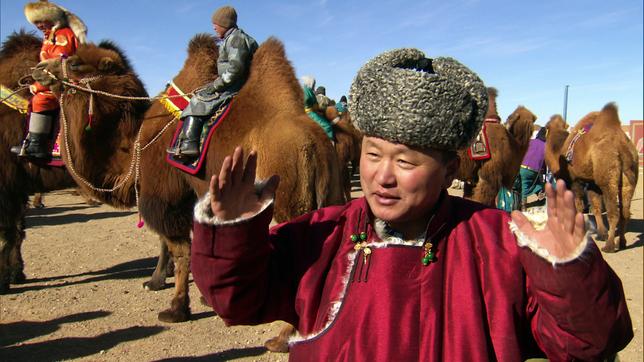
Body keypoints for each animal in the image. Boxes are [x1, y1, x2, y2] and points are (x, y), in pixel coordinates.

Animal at [0, 29, 80, 292]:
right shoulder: (16, 188)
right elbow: (17, 231)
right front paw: (16, 273)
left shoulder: (5, 186)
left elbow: (6, 234)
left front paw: (3, 281)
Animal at [34, 34, 348, 328]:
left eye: (75, 63)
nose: (37, 70)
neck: (136, 144)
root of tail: (313, 146)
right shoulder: (193, 193)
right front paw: (164, 284)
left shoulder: (162, 192)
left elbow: (178, 248)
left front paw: (175, 308)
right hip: (331, 190)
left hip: (291, 201)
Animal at [544, 104, 640, 252]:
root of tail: (622, 145)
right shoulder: (591, 182)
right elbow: (596, 207)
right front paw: (601, 234)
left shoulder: (575, 180)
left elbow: (578, 205)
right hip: (629, 178)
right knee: (625, 212)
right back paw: (622, 242)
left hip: (607, 176)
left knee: (614, 212)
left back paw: (609, 246)